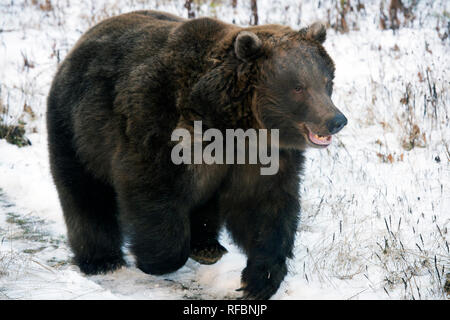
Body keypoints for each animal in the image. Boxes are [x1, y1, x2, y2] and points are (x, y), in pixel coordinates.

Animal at [46, 10, 348, 300]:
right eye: (298, 86)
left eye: (326, 81)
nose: (336, 120)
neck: (230, 123)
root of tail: (80, 43)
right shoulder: (158, 125)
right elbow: (151, 191)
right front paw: (155, 260)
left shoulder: (259, 155)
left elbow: (265, 207)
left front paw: (259, 279)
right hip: (77, 130)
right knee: (85, 195)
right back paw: (101, 260)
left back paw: (207, 246)